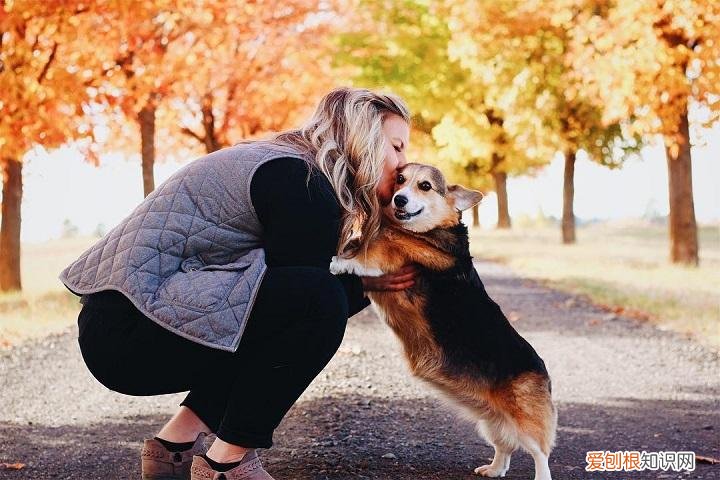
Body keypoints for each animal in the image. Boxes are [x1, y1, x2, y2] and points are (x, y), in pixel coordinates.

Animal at [330, 163, 556, 478]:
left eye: (425, 186)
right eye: (400, 179)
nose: (399, 199)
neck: (422, 231)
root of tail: (544, 372)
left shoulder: (392, 256)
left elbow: (369, 253)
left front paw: (338, 261)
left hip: (525, 419)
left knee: (539, 452)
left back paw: (539, 473)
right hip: (491, 422)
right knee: (505, 448)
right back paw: (493, 469)